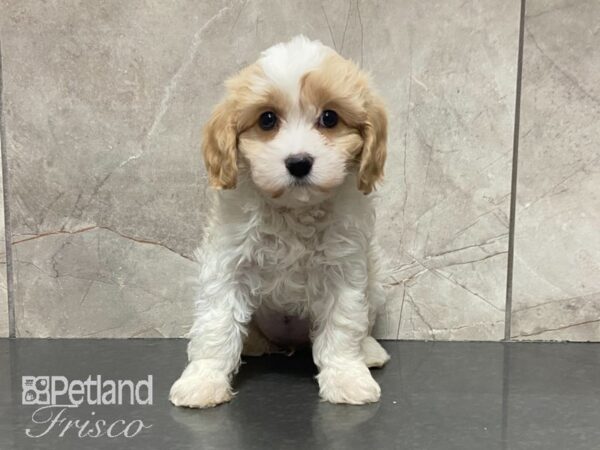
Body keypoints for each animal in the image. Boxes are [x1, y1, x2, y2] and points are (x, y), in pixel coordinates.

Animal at [171, 36, 392, 408]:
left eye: (329, 118)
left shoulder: (344, 267)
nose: (298, 162)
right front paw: (202, 381)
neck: (293, 211)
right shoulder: (227, 264)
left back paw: (370, 351)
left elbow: (343, 324)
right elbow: (216, 325)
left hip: (375, 279)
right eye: (267, 120)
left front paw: (346, 378)